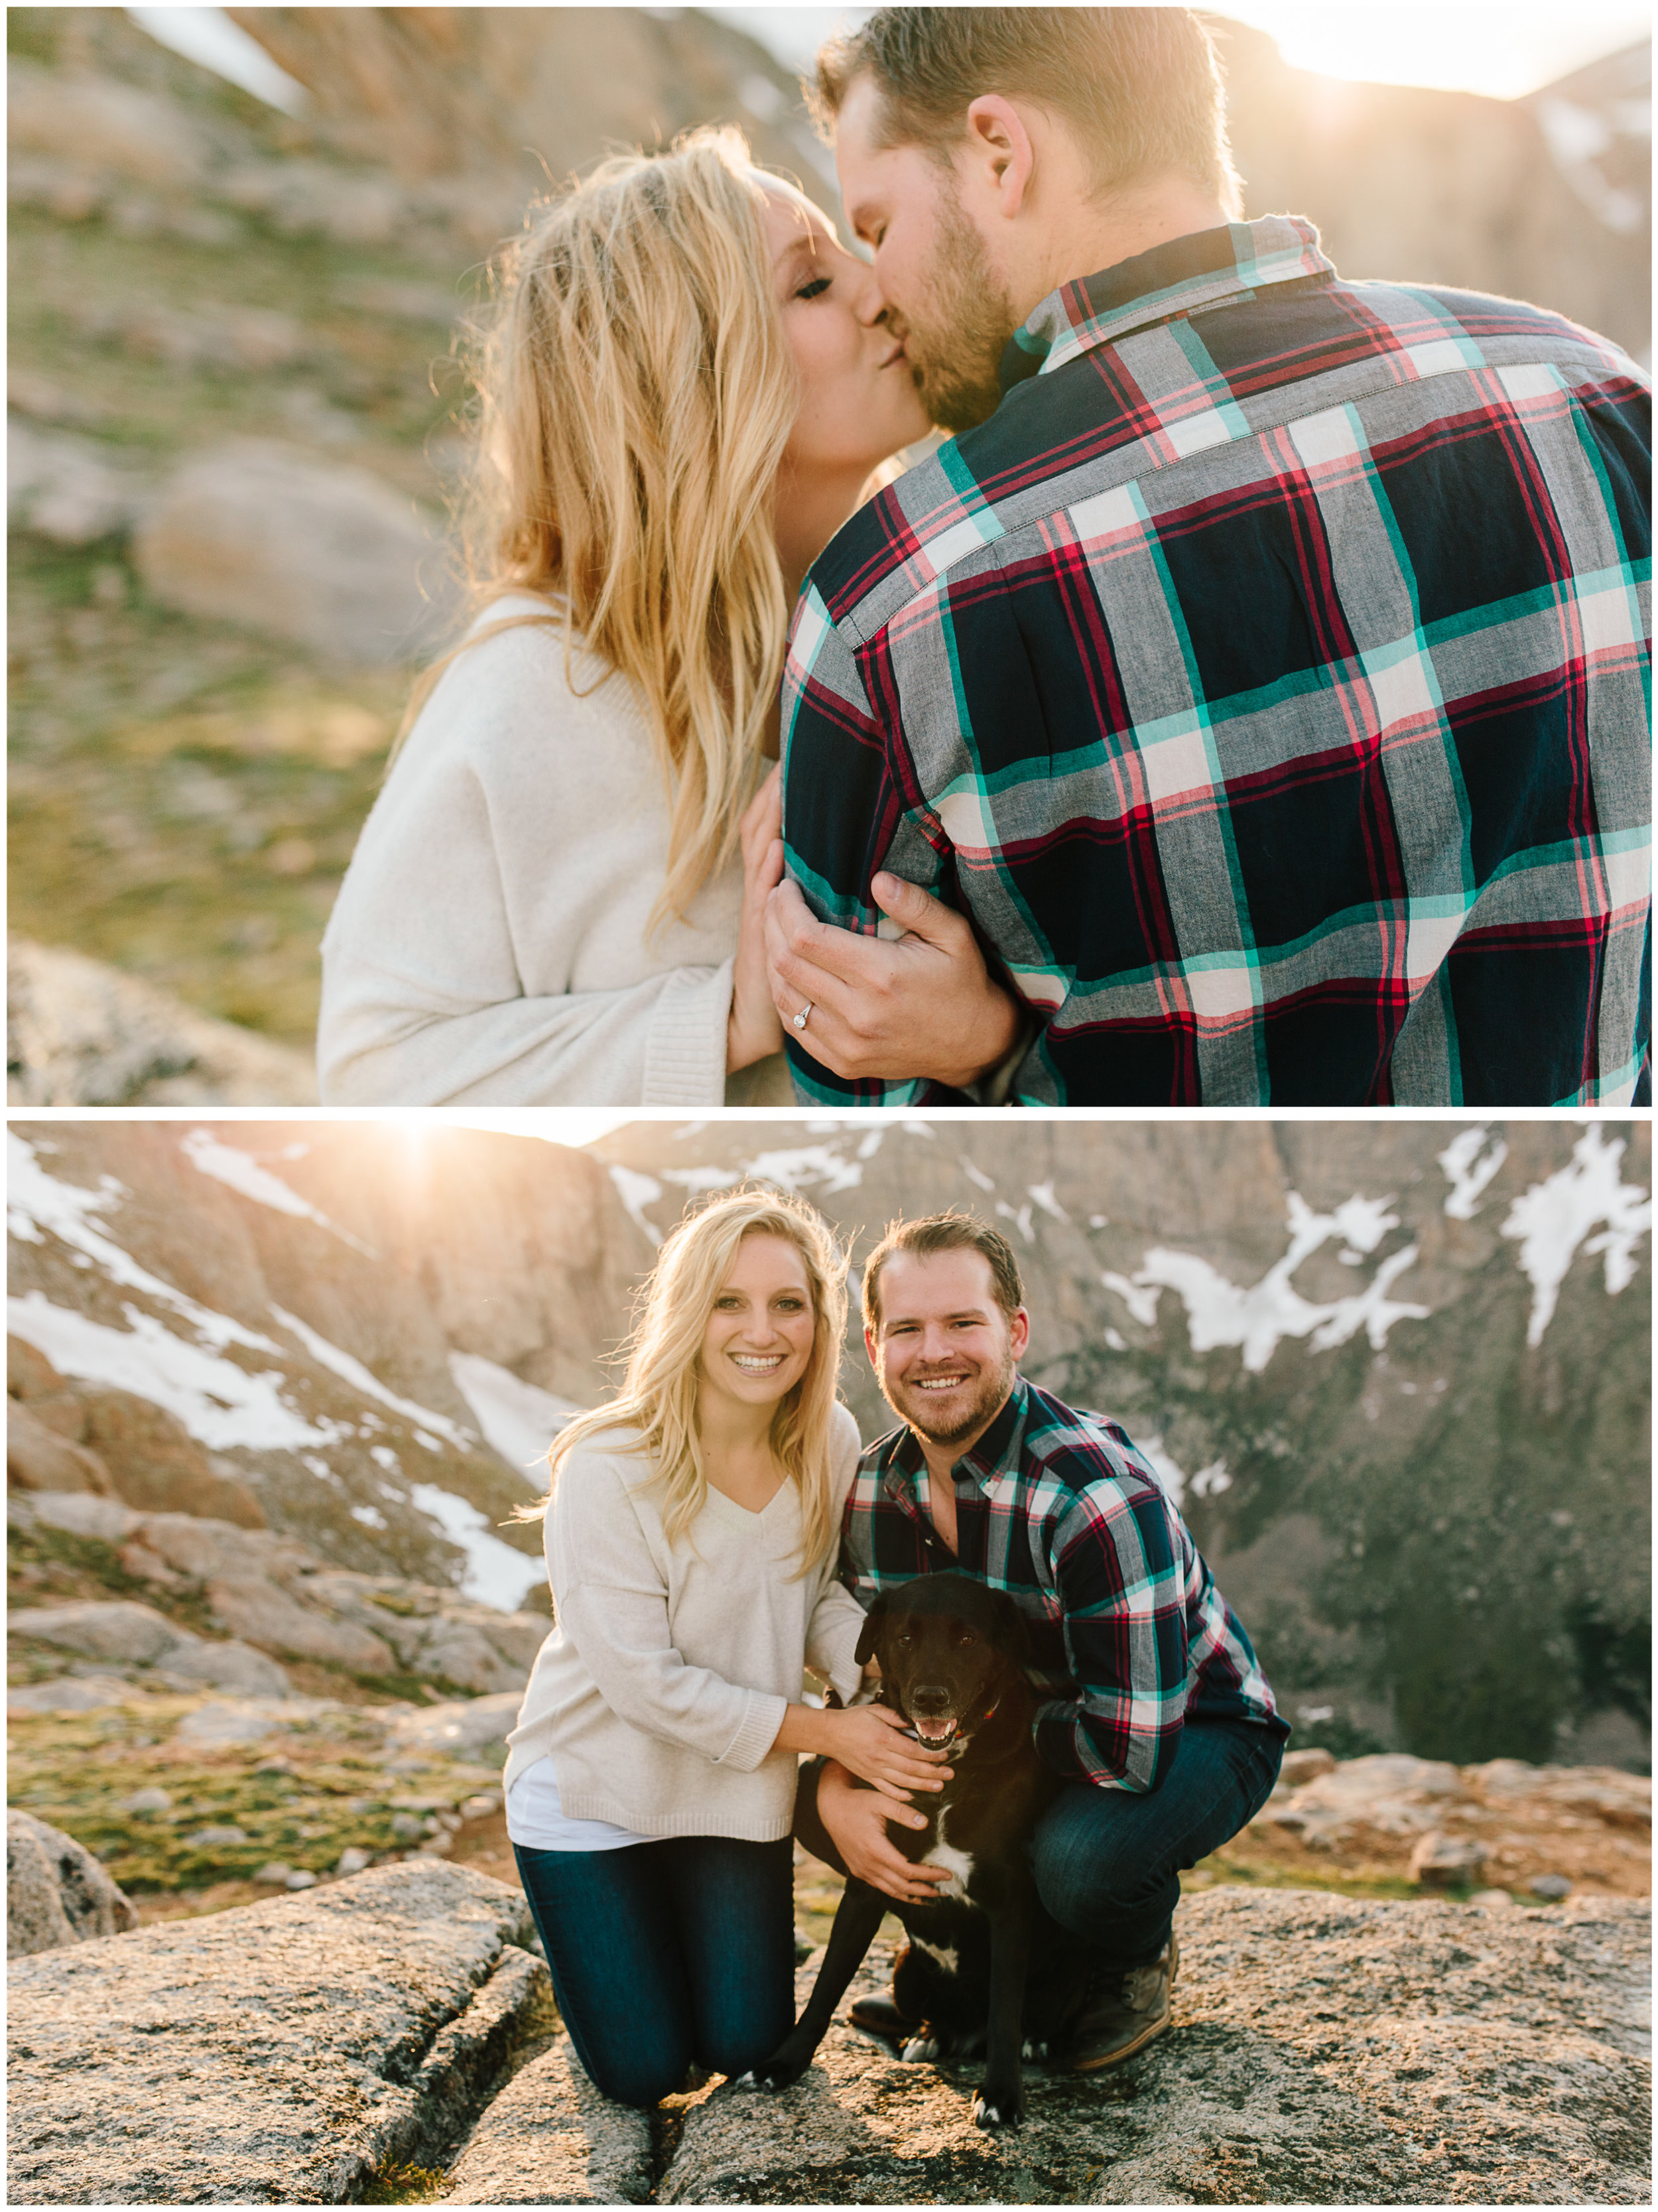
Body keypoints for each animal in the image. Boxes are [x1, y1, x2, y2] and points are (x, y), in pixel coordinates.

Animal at [747, 1575, 1083, 2123]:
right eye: (904, 1638)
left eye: (967, 1639)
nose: (930, 1698)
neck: (946, 1773)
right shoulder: (865, 1885)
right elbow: (824, 1987)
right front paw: (783, 2062)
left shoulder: (1010, 1904)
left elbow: (1005, 2007)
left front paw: (1002, 2093)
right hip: (907, 1969)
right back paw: (929, 2035)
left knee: (1020, 2017)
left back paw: (1032, 2040)